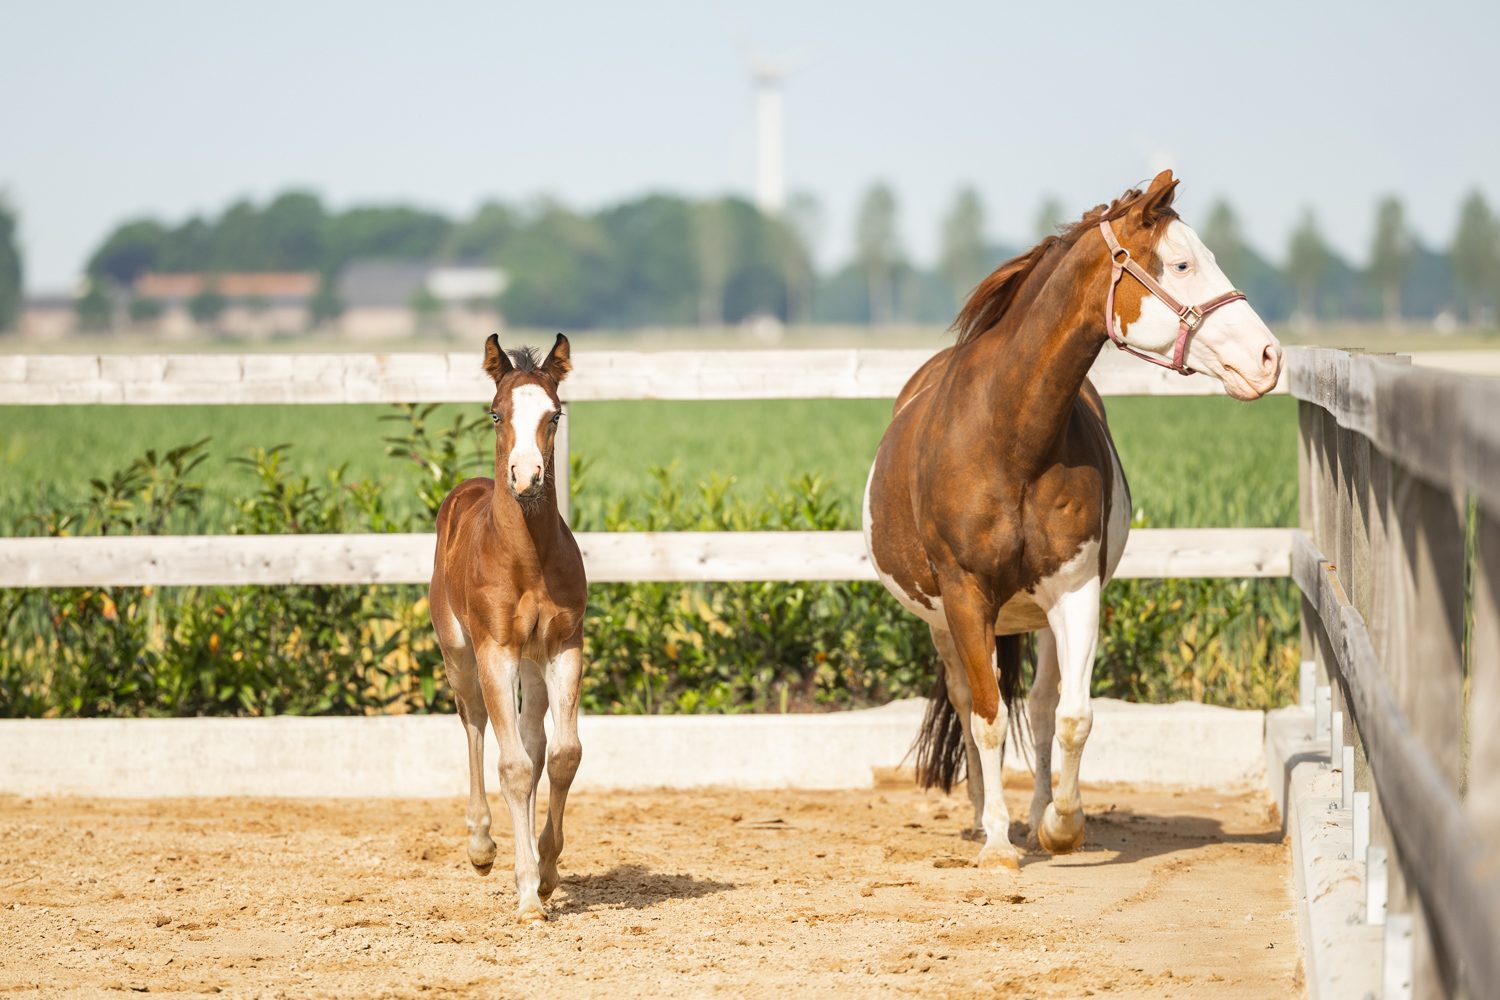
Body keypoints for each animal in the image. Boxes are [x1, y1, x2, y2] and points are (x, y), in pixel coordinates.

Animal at [429, 333, 587, 922]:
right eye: (496, 413)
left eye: (555, 415)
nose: (526, 476)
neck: (527, 559)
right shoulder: (495, 649)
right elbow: (513, 765)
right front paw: (526, 895)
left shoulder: (564, 646)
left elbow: (561, 755)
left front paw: (546, 870)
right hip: (459, 652)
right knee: (474, 722)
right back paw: (480, 845)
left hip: (532, 664)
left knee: (533, 736)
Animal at [861, 171, 1283, 871]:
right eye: (1182, 263)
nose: (1271, 357)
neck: (1009, 439)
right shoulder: (965, 598)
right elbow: (987, 720)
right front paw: (997, 842)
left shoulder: (1076, 591)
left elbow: (1071, 716)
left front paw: (1061, 824)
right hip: (943, 622)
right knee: (969, 702)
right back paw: (980, 814)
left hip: (1037, 616)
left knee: (1040, 703)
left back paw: (1033, 814)